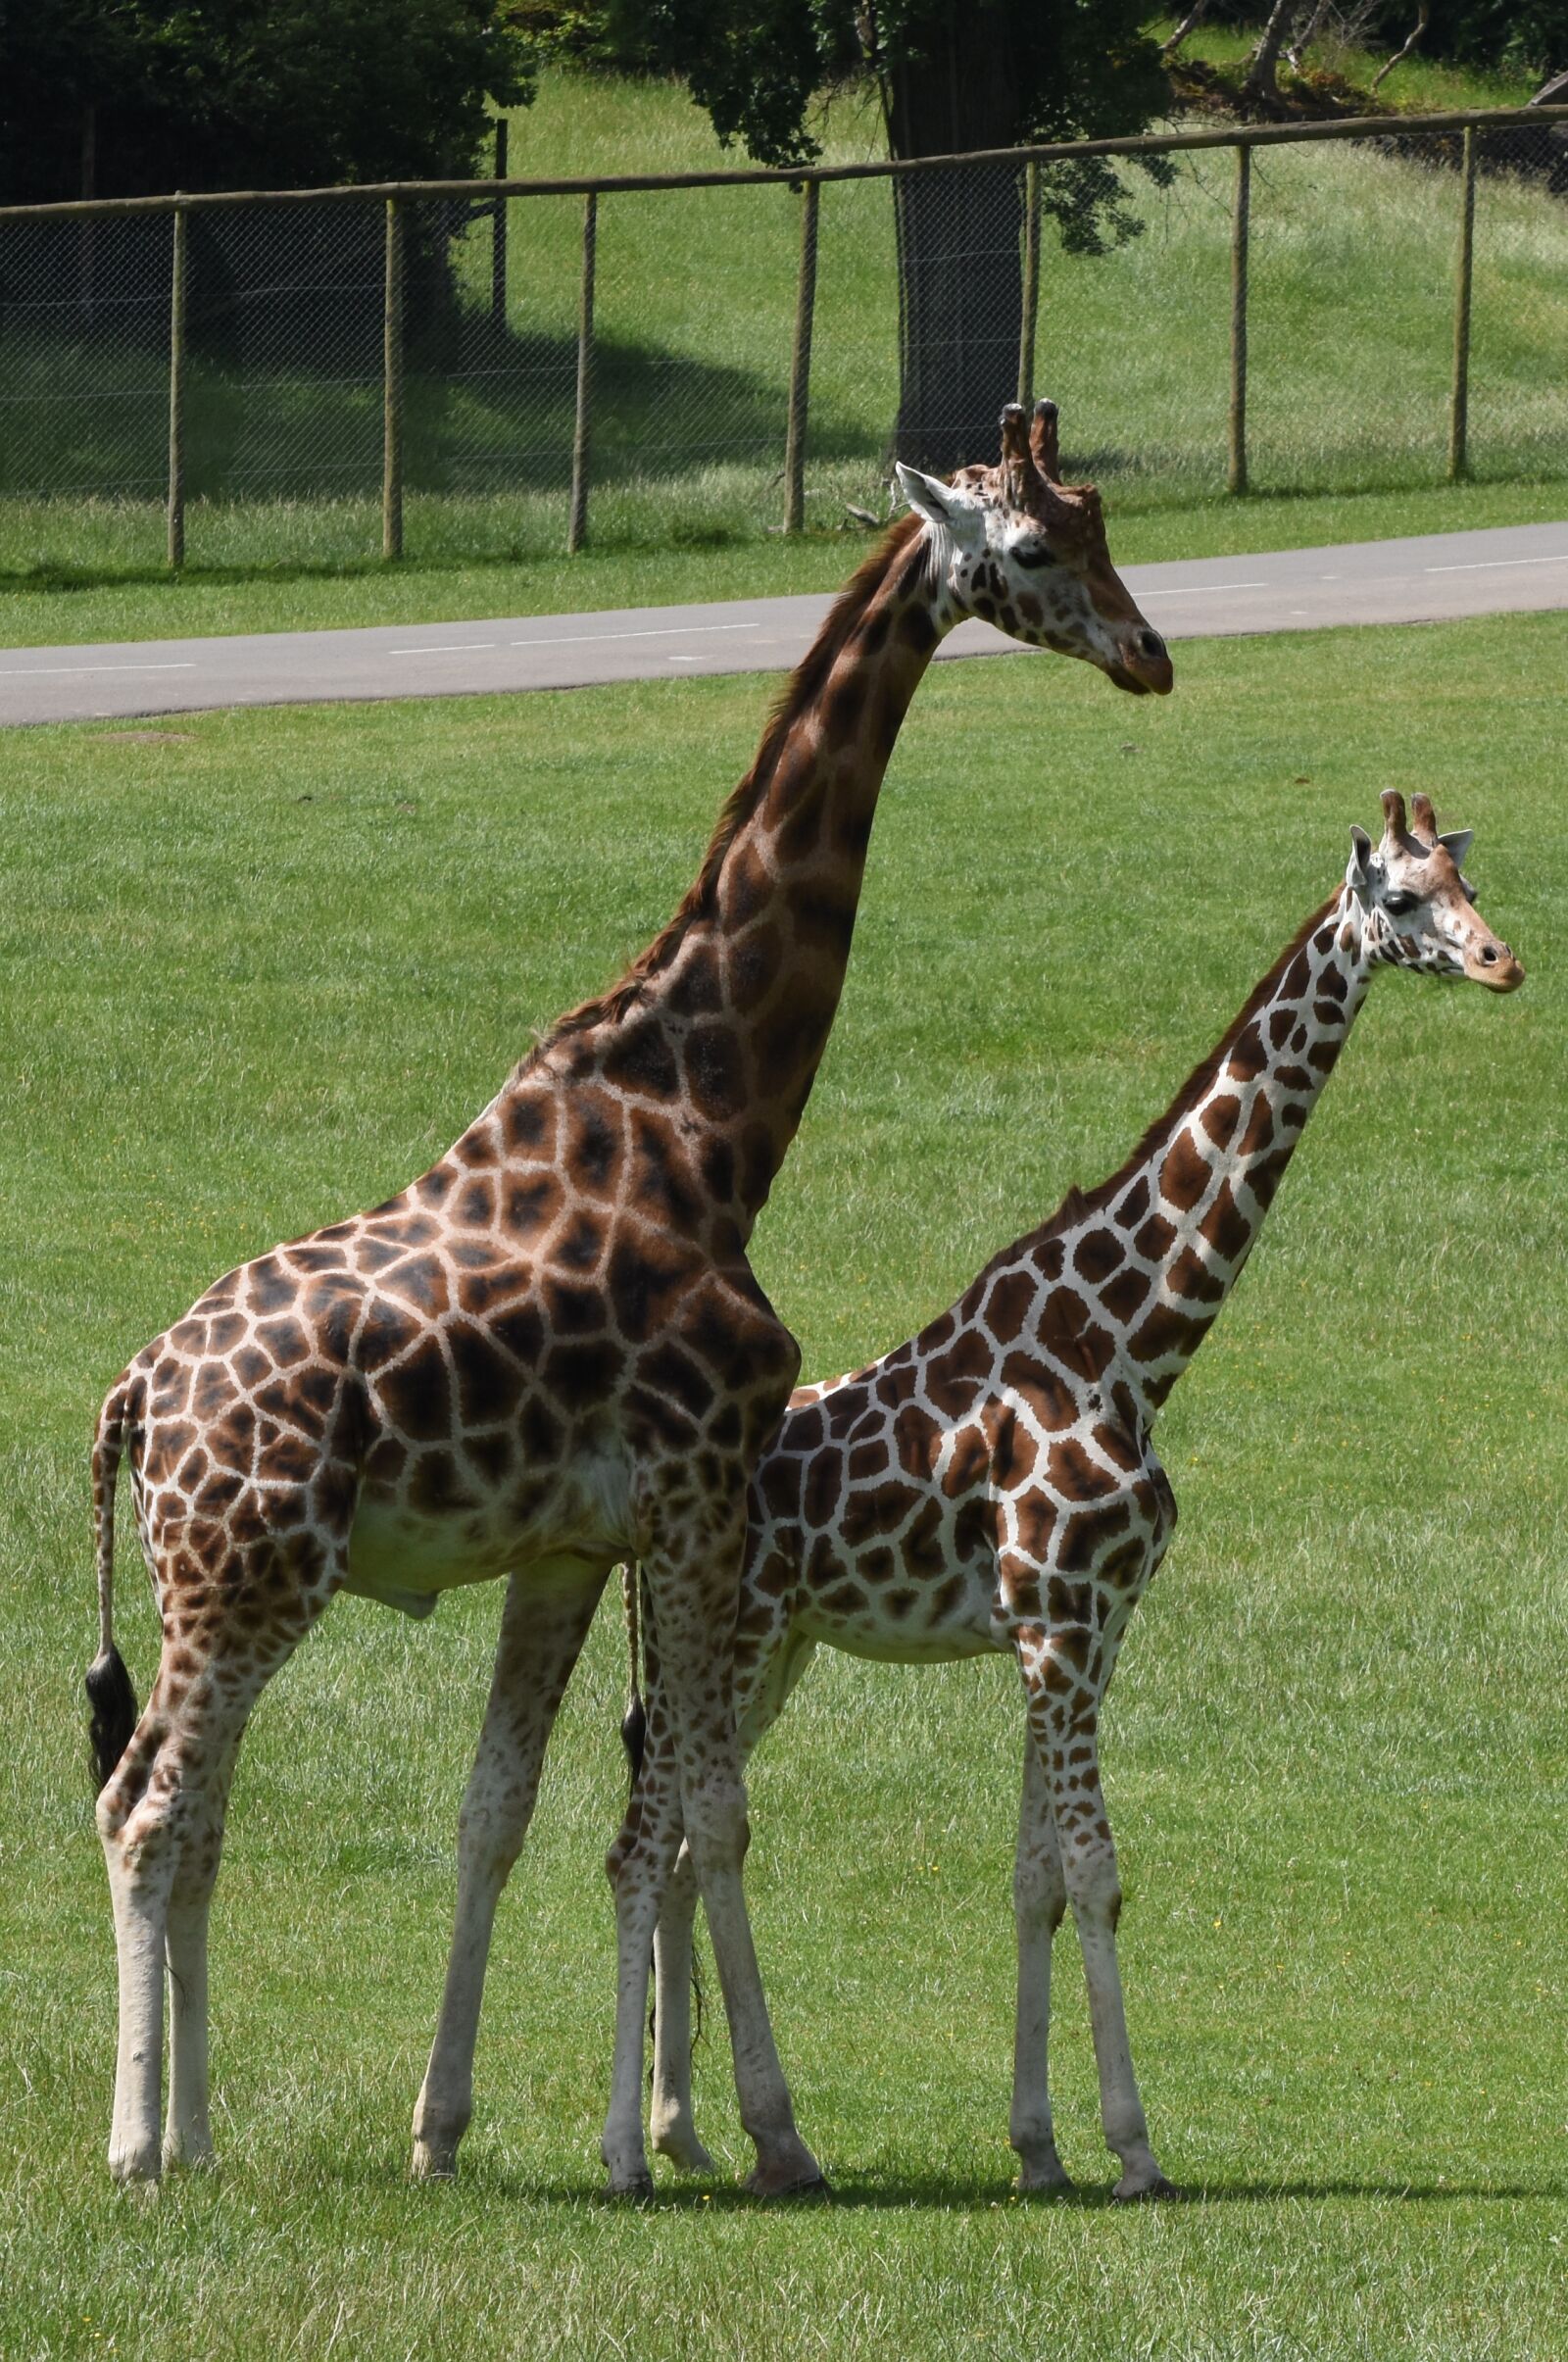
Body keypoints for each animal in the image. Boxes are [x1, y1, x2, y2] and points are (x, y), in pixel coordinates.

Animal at [84, 398, 1173, 2190]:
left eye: (1103, 533)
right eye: (1032, 548)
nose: (1149, 652)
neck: (707, 1120)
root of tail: (130, 1401)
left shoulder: (570, 1545)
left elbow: (499, 1810)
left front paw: (444, 2123)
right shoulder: (697, 1483)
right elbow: (712, 1813)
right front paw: (774, 2133)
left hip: (227, 1590)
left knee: (198, 1815)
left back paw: (203, 2131)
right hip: (245, 1574)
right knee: (146, 1808)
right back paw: (136, 2146)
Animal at [604, 791, 1523, 2199]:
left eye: (1471, 881)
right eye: (1406, 899)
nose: (1501, 962)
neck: (1130, 1342)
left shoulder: (1086, 1630)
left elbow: (1034, 1872)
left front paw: (1039, 2144)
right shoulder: (1058, 1620)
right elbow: (1094, 1870)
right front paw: (1133, 2146)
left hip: (774, 1649)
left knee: (679, 1838)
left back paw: (693, 2129)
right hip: (729, 1631)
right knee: (656, 1835)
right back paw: (667, 2142)